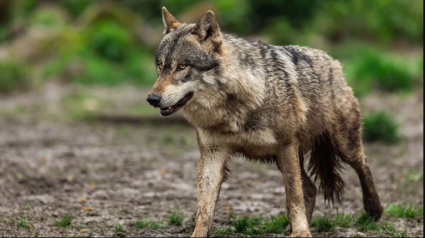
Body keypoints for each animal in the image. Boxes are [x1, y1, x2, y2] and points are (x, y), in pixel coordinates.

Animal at [147, 6, 384, 236]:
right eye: (160, 66)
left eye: (182, 67)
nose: (152, 99)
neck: (235, 106)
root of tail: (333, 61)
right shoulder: (212, 154)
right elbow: (204, 208)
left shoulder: (286, 145)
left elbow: (293, 197)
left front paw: (301, 233)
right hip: (283, 158)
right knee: (310, 187)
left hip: (342, 146)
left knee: (363, 164)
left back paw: (374, 209)